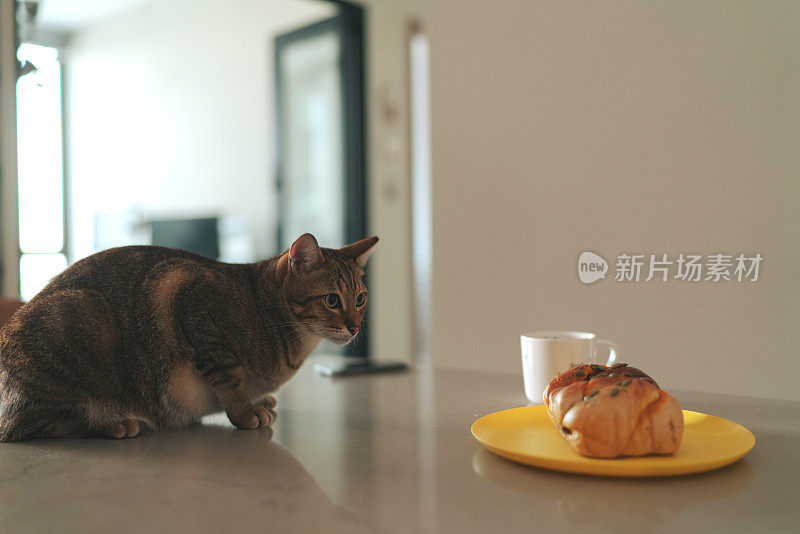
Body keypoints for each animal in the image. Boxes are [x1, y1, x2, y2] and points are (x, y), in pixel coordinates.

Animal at [0, 232, 376, 442]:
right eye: (332, 300)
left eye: (360, 298)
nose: (355, 327)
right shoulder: (193, 304)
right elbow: (231, 381)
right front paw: (246, 411)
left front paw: (261, 400)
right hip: (79, 318)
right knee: (29, 426)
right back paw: (115, 423)